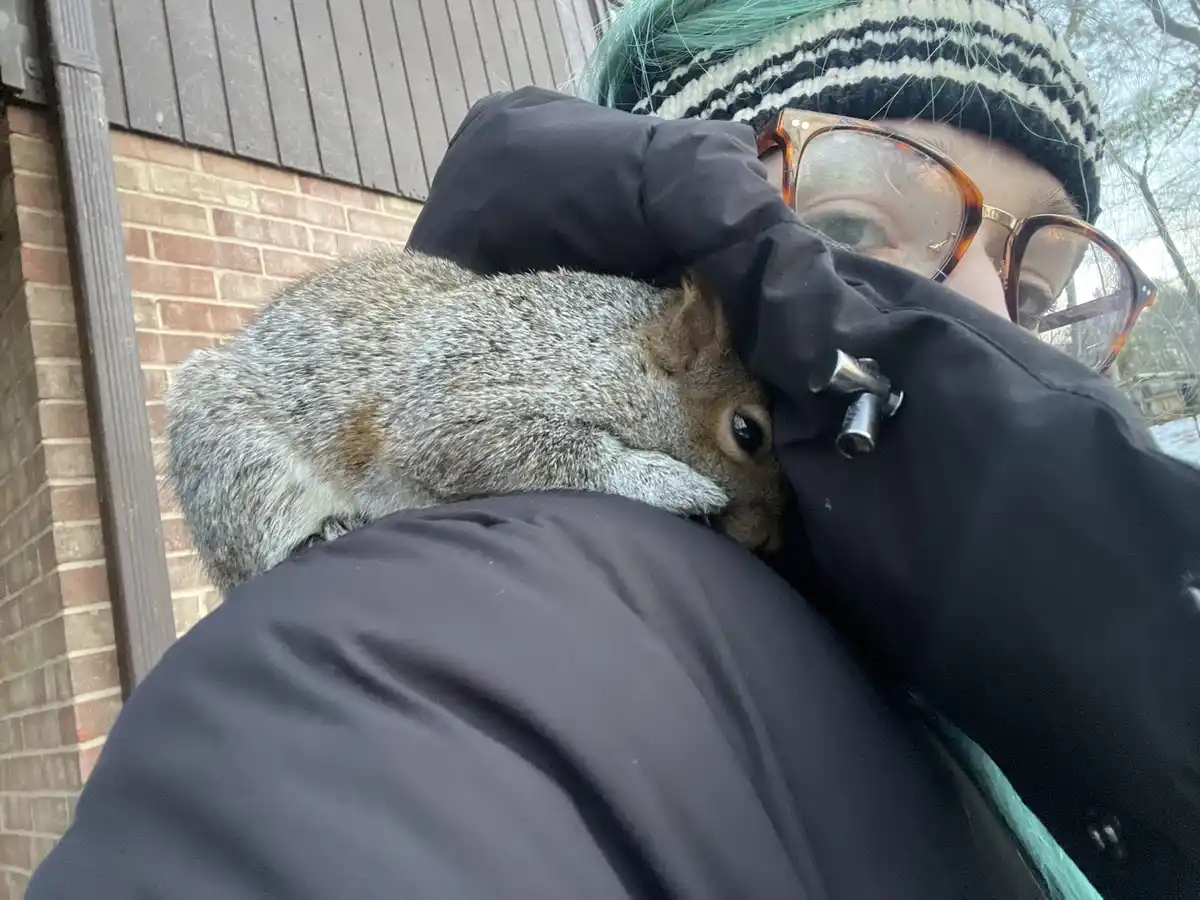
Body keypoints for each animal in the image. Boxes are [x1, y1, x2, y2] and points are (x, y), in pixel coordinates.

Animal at [164, 249, 784, 593]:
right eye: (747, 432)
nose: (770, 543)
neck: (605, 351)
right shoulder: (455, 402)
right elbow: (558, 452)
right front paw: (672, 483)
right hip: (235, 458)